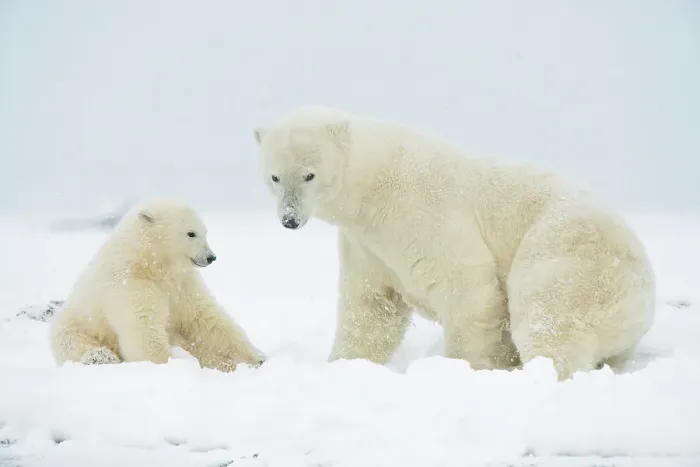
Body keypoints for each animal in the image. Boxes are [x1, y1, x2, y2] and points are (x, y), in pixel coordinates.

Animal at [49, 197, 266, 372]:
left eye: (205, 232)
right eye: (191, 233)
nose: (211, 257)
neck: (150, 264)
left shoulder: (182, 284)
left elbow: (204, 318)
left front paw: (257, 357)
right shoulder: (129, 285)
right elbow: (143, 326)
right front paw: (165, 364)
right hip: (73, 326)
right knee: (73, 344)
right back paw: (101, 357)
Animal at [252, 106, 656, 381]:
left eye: (309, 175)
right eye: (275, 176)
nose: (289, 219)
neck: (374, 184)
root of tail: (645, 292)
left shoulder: (423, 211)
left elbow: (466, 287)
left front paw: (465, 367)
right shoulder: (367, 244)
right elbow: (372, 306)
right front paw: (344, 365)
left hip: (573, 254)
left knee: (549, 316)